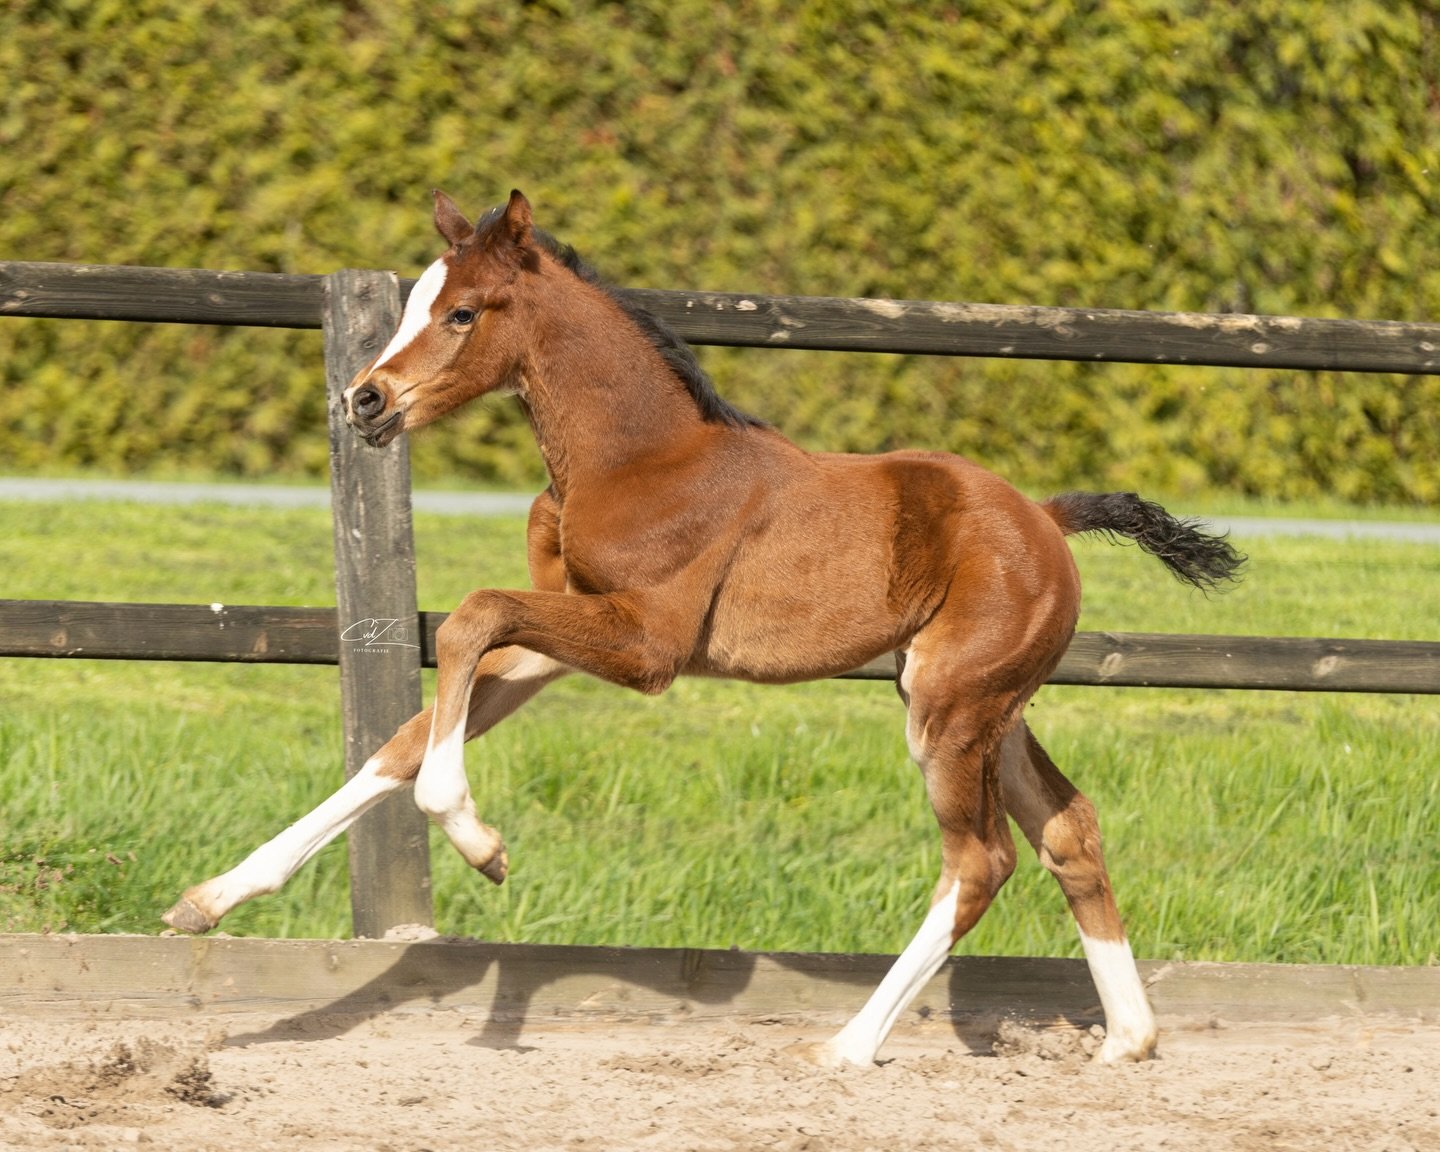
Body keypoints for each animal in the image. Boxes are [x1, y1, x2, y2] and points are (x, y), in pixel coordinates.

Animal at [164, 189, 1243, 1067]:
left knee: (980, 862)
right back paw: (1128, 1039)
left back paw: (846, 1048)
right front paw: (209, 900)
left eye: (462, 311)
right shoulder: (559, 642)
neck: (639, 456)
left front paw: (483, 846)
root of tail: (1048, 520)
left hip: (950, 707)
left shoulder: (646, 647)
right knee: (1069, 829)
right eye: (410, 304)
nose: (364, 400)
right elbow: (405, 736)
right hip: (988, 706)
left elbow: (467, 621)